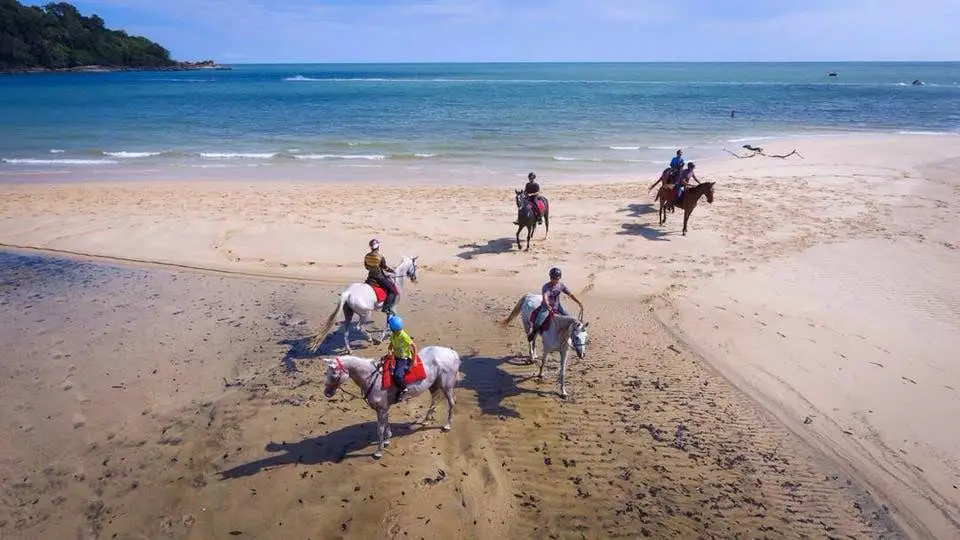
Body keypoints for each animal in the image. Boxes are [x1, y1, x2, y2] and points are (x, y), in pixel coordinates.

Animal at [320, 348, 464, 458]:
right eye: (326, 372)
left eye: (334, 373)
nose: (327, 393)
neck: (373, 377)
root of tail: (451, 352)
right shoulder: (383, 408)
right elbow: (386, 423)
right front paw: (387, 440)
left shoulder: (381, 409)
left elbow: (380, 429)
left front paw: (378, 451)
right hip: (433, 385)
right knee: (434, 400)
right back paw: (426, 420)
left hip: (446, 386)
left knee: (451, 402)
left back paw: (447, 425)